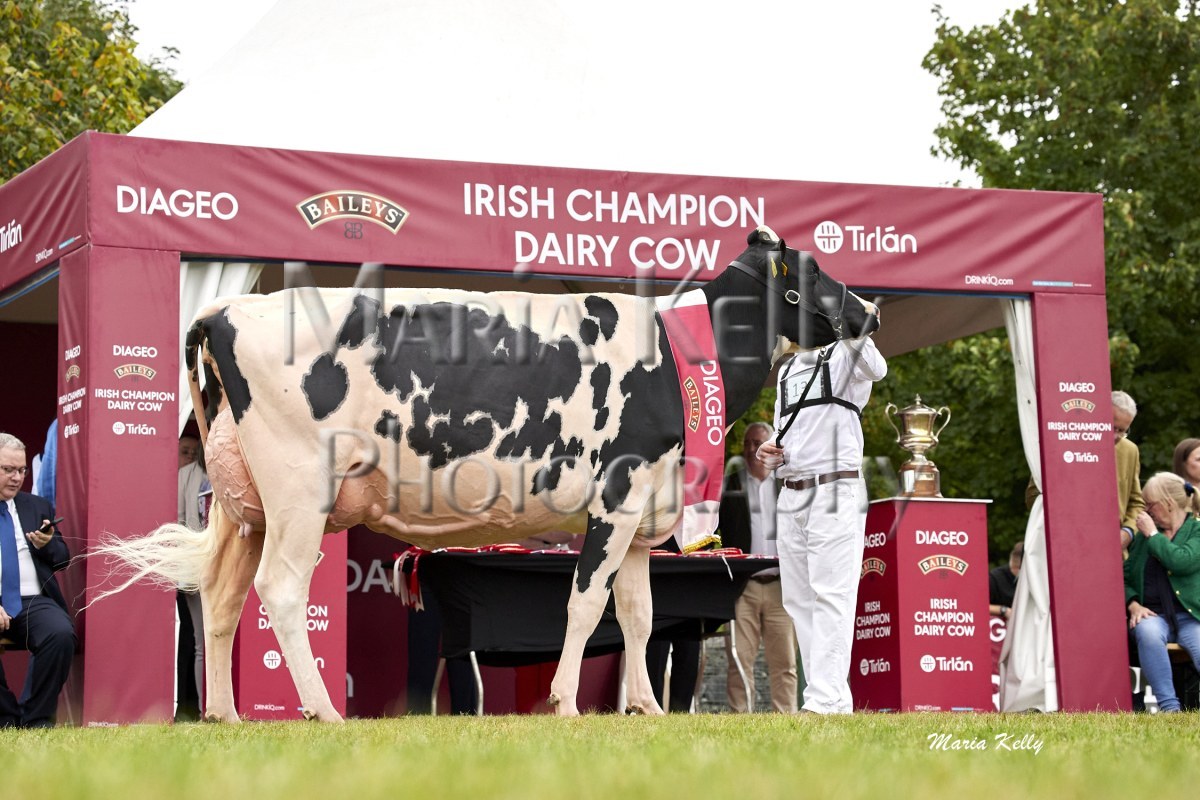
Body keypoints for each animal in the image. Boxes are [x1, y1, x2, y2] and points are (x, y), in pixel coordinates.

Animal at [96, 226, 878, 722]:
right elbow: (586, 605)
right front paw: (565, 703)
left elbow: (639, 614)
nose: (869, 308)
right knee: (279, 593)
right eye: (811, 271)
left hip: (243, 506)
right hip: (297, 491)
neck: (677, 356)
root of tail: (230, 306)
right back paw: (321, 711)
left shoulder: (640, 512)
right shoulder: (614, 497)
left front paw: (648, 708)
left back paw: (225, 718)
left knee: (221, 599)